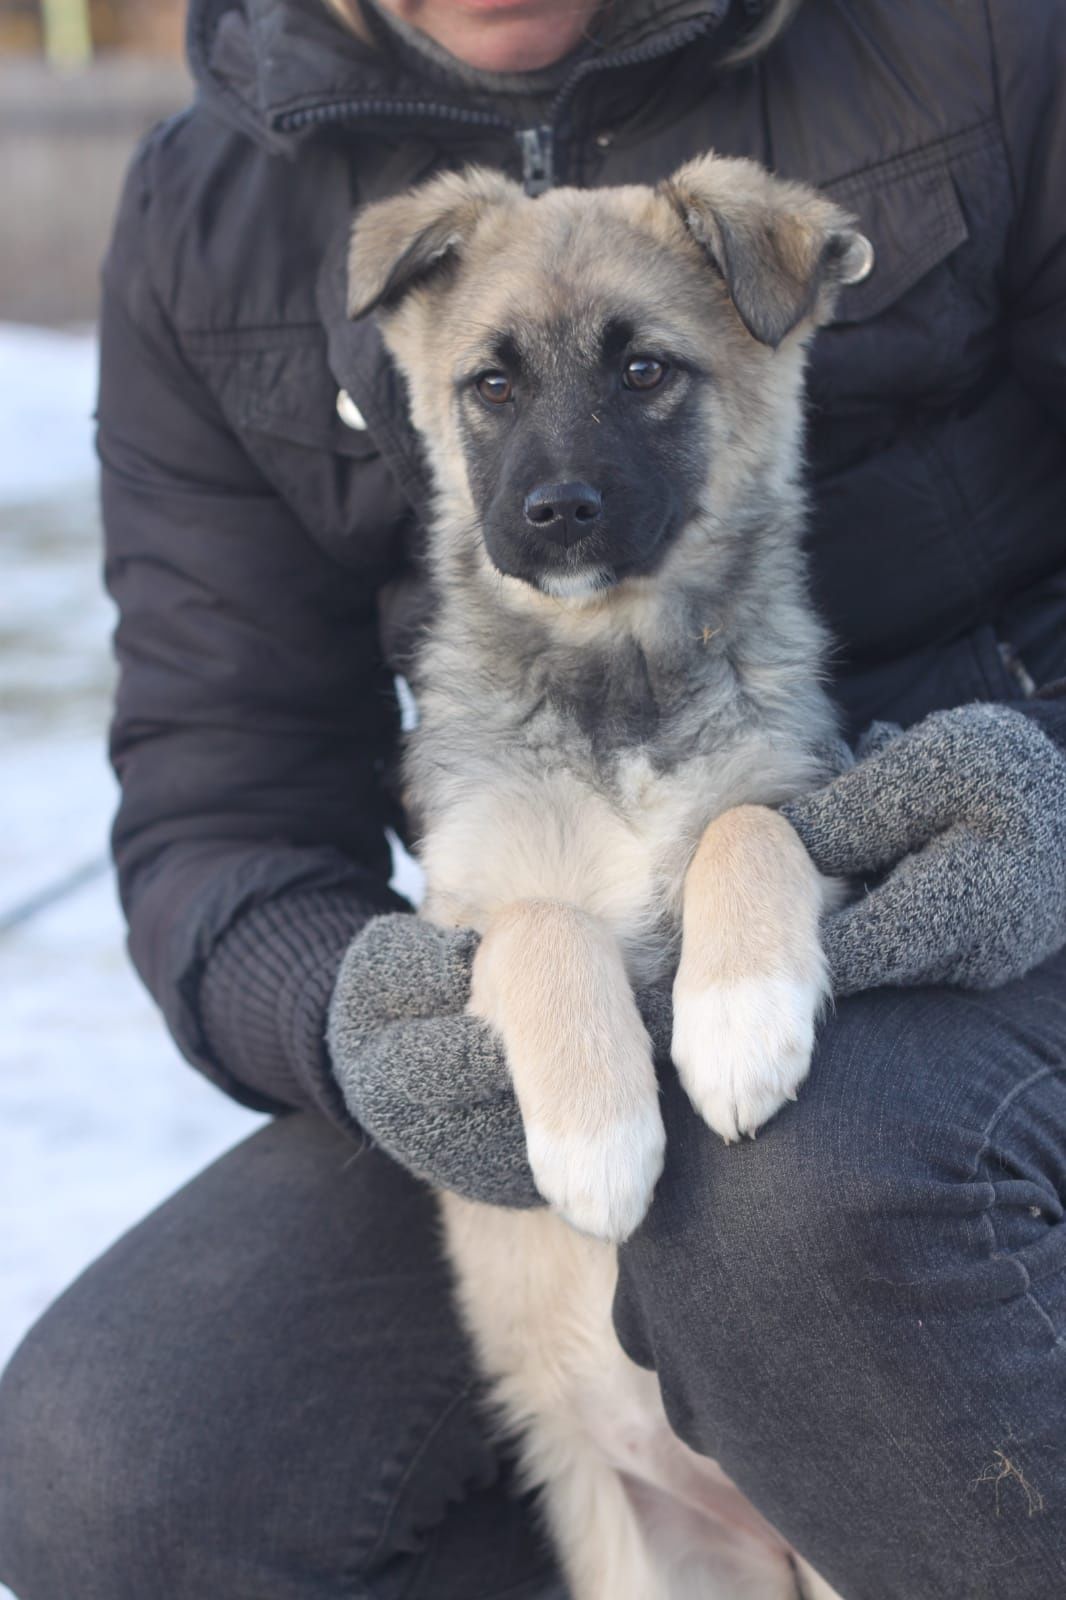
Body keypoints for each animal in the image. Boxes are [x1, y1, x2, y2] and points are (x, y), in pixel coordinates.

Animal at [344, 152, 870, 1600]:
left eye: (645, 372)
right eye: (490, 383)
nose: (557, 515)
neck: (616, 674)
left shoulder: (805, 790)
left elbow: (746, 831)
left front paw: (736, 1023)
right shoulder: (458, 912)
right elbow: (544, 928)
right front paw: (599, 1142)